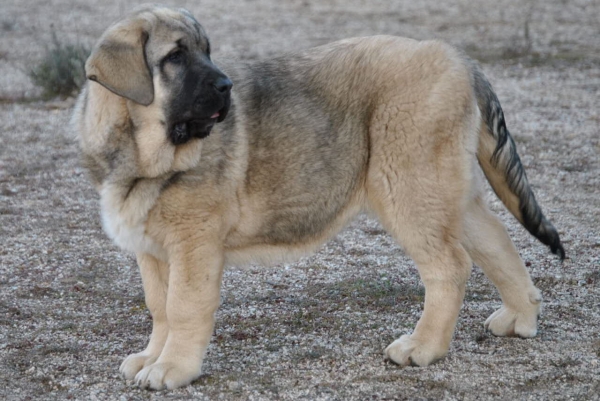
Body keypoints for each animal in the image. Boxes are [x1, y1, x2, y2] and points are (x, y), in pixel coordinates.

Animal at [72, 4, 564, 390]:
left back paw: (423, 347)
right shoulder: (154, 250)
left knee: (451, 266)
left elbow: (183, 307)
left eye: (205, 52)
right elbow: (160, 308)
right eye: (175, 57)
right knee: (496, 241)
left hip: (409, 187)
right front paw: (152, 356)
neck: (143, 154)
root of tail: (457, 58)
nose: (227, 87)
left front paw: (173, 368)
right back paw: (520, 318)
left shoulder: (194, 245)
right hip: (446, 193)